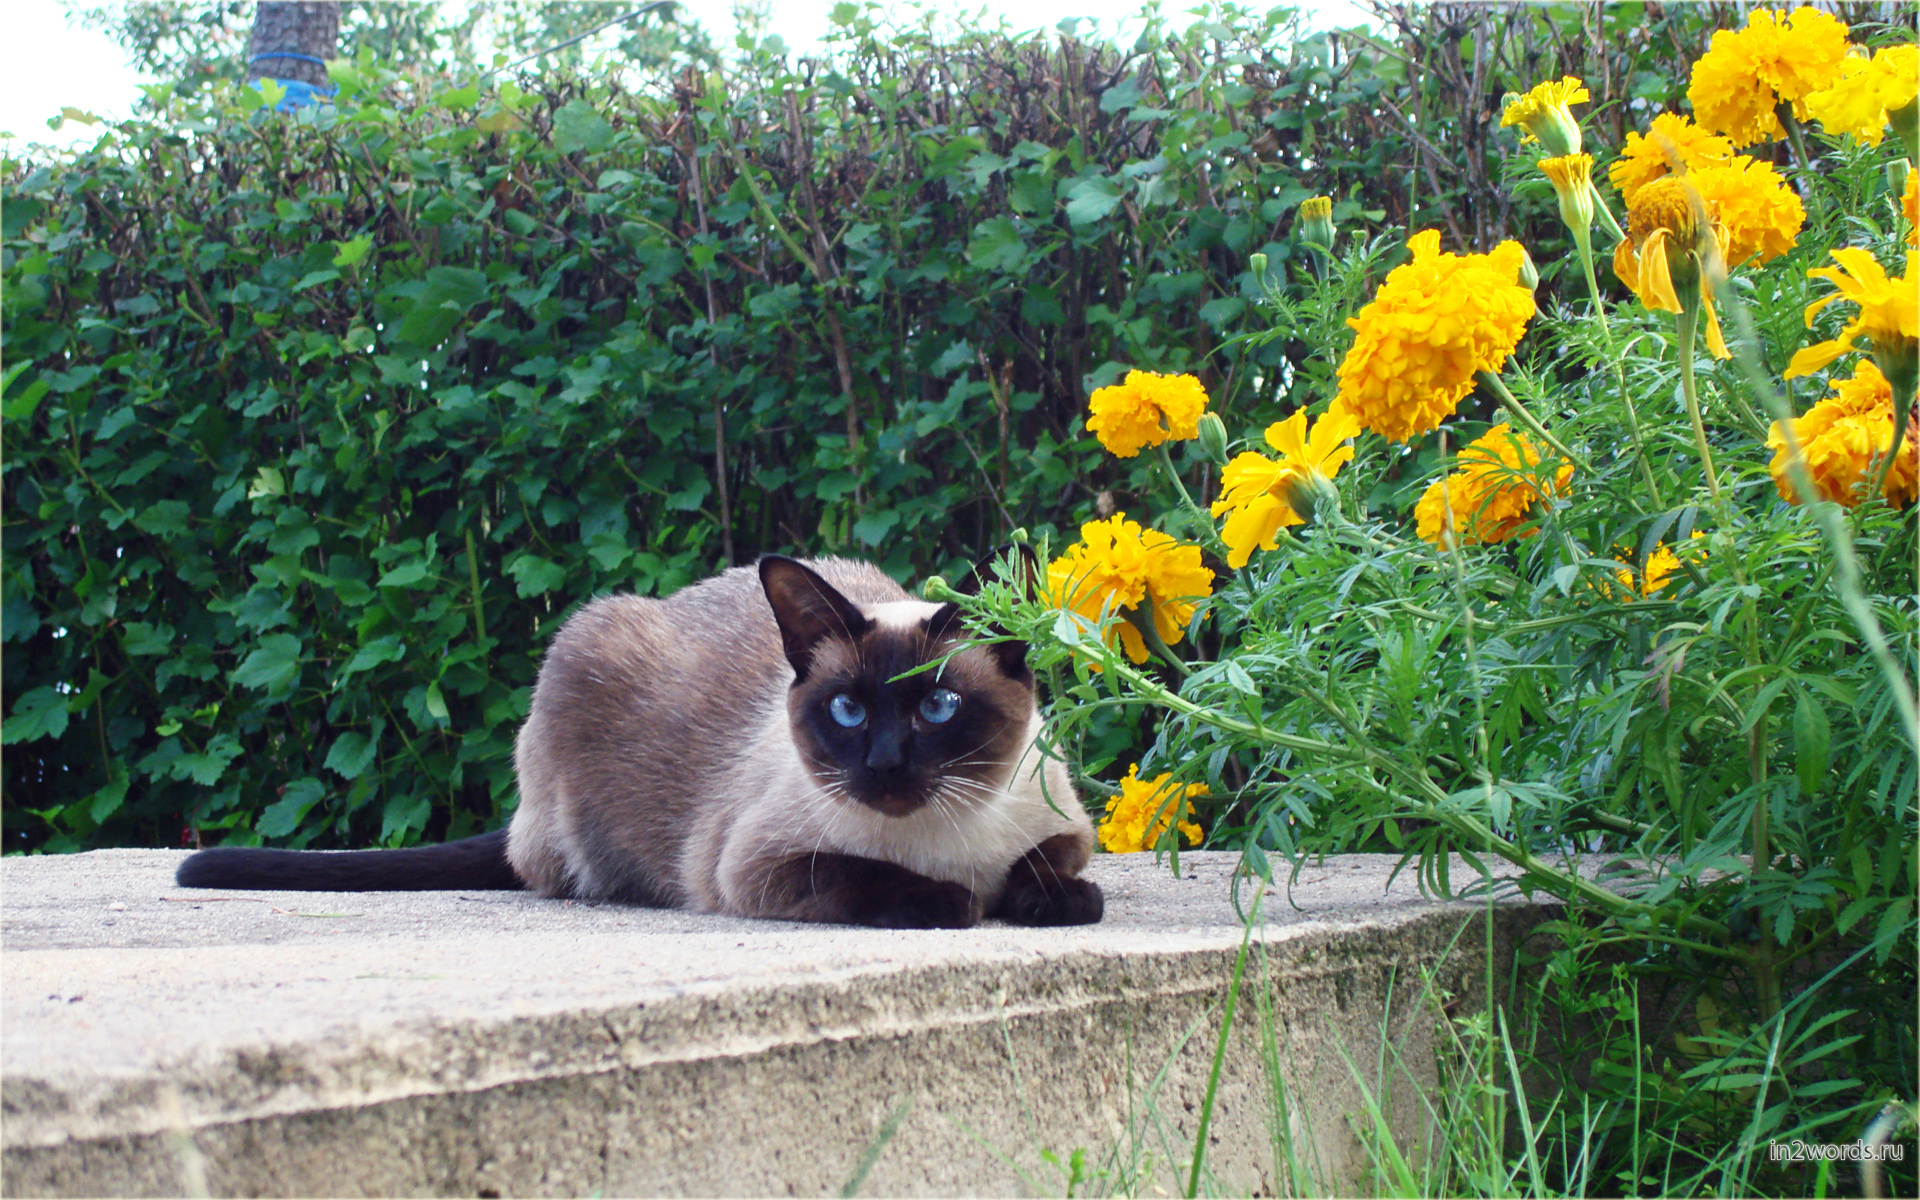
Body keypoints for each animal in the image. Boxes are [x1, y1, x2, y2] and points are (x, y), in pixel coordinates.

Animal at [183, 552, 1113, 925]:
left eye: (939, 708)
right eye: (849, 712)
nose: (885, 766)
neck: (941, 841)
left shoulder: (1069, 827)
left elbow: (1049, 870)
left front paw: (1048, 902)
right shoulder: (754, 867)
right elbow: (873, 877)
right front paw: (954, 902)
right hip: (586, 647)